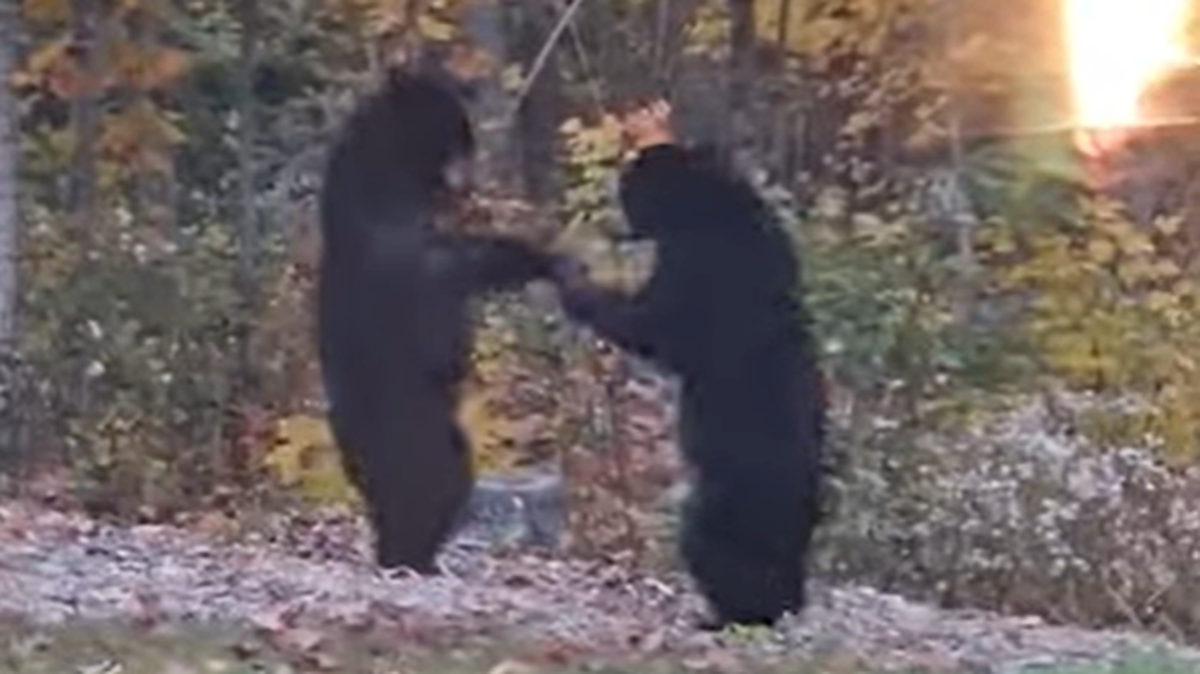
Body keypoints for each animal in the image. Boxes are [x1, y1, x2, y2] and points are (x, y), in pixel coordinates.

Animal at [316, 61, 557, 574]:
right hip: (417, 426)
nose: (470, 180)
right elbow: (441, 318)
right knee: (437, 478)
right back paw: (413, 554)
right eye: (461, 135)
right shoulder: (403, 260)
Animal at [552, 99, 827, 629]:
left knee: (710, 541)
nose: (620, 226)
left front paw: (573, 280)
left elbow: (655, 327)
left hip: (731, 490)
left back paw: (733, 611)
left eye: (626, 190)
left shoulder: (699, 261)